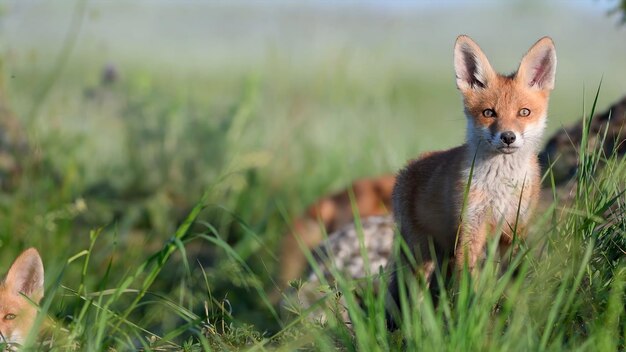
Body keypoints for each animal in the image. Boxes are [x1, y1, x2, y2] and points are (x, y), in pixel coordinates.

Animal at [386, 36, 556, 314]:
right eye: (489, 113)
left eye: (524, 112)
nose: (508, 137)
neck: (500, 188)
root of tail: (406, 169)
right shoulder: (470, 229)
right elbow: (467, 284)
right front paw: (469, 314)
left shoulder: (514, 230)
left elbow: (509, 279)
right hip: (420, 256)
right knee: (415, 296)